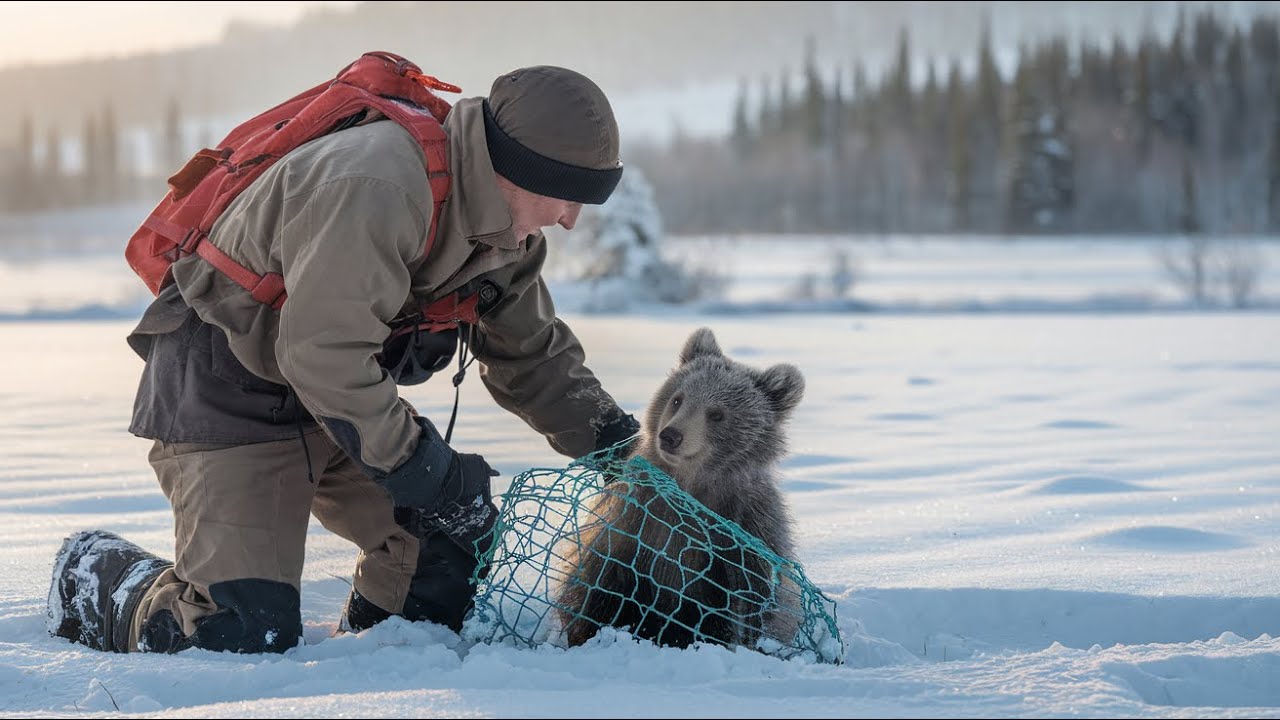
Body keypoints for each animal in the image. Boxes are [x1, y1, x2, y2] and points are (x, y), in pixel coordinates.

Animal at [552, 326, 805, 652]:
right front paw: (589, 631)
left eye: (717, 414)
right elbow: (605, 581)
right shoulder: (638, 521)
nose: (671, 435)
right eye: (677, 399)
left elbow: (745, 599)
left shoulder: (744, 527)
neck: (690, 485)